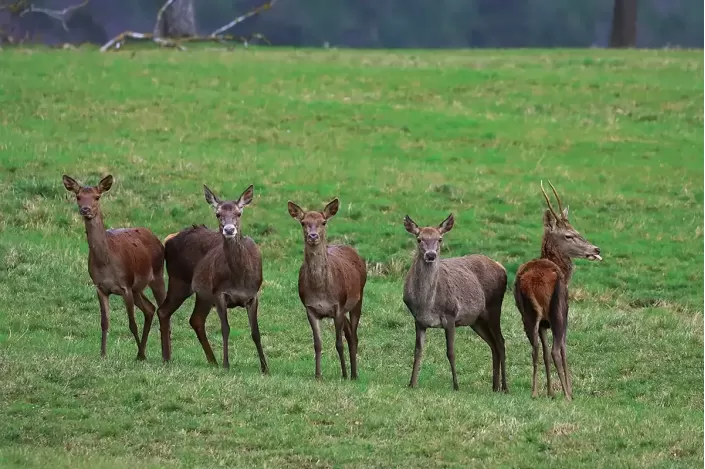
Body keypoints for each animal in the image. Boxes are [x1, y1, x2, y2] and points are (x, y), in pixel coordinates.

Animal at [62, 174, 166, 360]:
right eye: (78, 196)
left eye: (97, 197)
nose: (85, 209)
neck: (106, 263)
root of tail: (156, 238)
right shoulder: (100, 287)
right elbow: (104, 322)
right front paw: (103, 354)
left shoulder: (126, 286)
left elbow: (132, 324)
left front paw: (141, 354)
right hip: (137, 288)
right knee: (150, 309)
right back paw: (143, 352)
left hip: (158, 274)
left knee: (164, 310)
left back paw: (163, 354)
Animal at [156, 185, 266, 372]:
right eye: (217, 214)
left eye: (239, 213)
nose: (229, 229)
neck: (240, 280)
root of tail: (169, 238)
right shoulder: (219, 293)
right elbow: (225, 328)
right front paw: (226, 364)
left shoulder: (253, 295)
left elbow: (256, 332)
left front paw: (265, 368)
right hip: (180, 280)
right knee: (163, 311)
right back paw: (166, 357)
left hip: (202, 293)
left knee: (196, 319)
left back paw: (211, 361)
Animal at [288, 198, 368, 380]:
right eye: (303, 223)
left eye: (323, 222)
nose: (313, 236)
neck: (320, 291)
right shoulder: (310, 309)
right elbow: (317, 343)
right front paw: (318, 375)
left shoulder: (338, 306)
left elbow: (339, 344)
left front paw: (344, 374)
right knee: (349, 332)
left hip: (358, 298)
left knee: (354, 336)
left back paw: (354, 375)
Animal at [402, 214, 506, 390]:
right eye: (419, 239)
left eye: (440, 239)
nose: (431, 255)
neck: (426, 304)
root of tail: (502, 267)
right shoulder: (418, 320)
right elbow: (417, 351)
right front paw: (412, 383)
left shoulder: (450, 315)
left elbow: (450, 352)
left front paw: (456, 386)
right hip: (476, 320)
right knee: (493, 345)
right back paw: (495, 387)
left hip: (494, 307)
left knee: (501, 343)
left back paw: (504, 387)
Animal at [516, 181, 604, 400]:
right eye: (569, 235)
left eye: (575, 229)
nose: (596, 249)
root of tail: (531, 283)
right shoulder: (566, 311)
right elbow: (563, 348)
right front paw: (568, 390)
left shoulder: (543, 324)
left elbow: (544, 351)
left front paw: (549, 391)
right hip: (558, 308)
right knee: (557, 349)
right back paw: (567, 395)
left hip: (527, 313)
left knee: (535, 349)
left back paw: (534, 391)